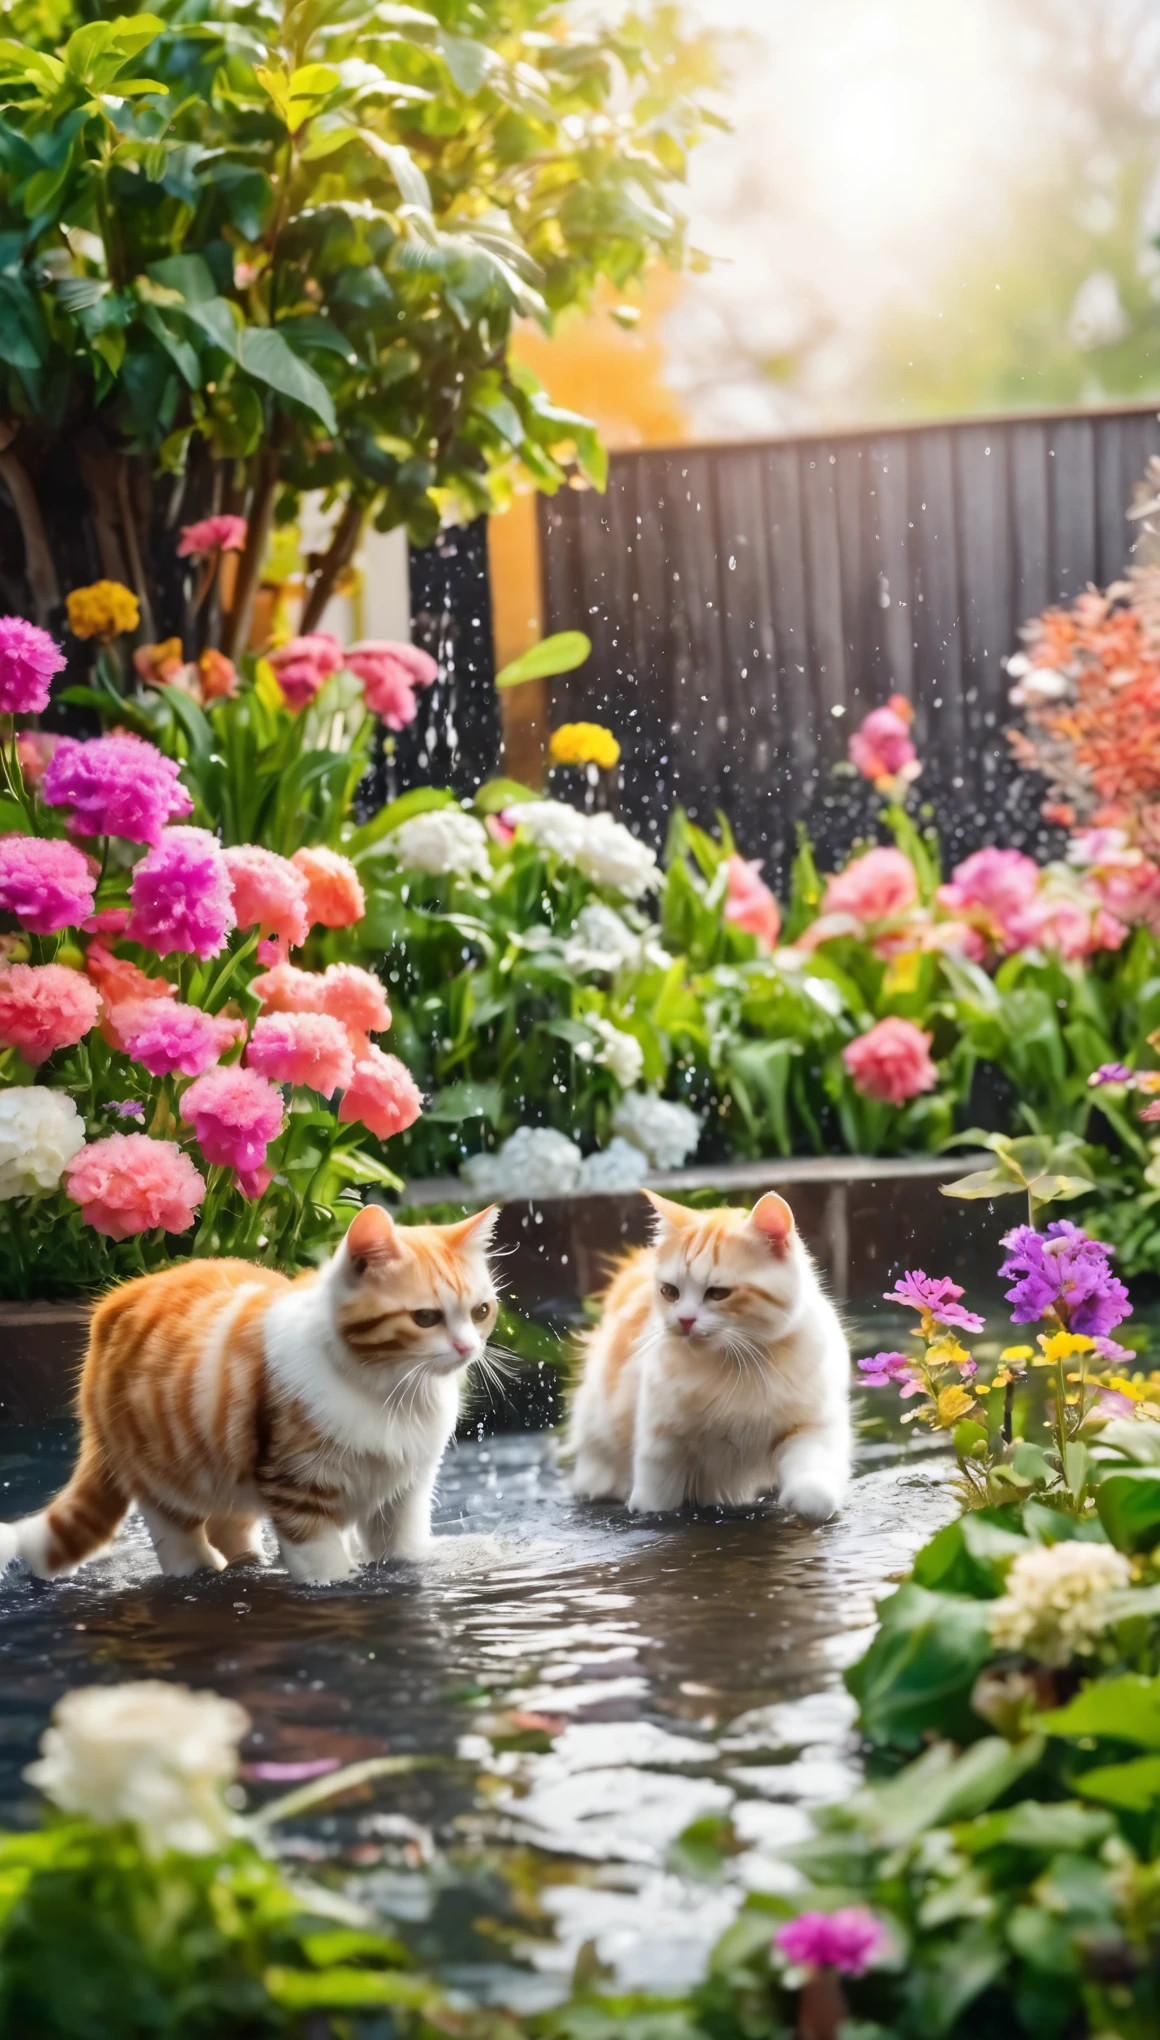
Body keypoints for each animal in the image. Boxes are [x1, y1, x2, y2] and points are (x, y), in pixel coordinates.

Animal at [0, 1199, 493, 1583]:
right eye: (426, 1318)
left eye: (481, 1311)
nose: (468, 1347)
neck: (391, 1389)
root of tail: (112, 1302)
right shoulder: (296, 1482)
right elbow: (322, 1561)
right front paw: (334, 1584)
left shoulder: (405, 1489)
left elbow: (402, 1550)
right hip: (160, 1465)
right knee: (174, 1527)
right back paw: (198, 1569)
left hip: (223, 1459)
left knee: (227, 1522)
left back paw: (248, 1562)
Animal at [566, 1191, 844, 1517]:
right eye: (670, 1291)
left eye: (718, 1293)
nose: (684, 1320)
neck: (735, 1366)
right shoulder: (662, 1435)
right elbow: (656, 1488)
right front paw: (649, 1509)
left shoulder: (809, 1424)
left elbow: (811, 1466)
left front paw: (810, 1500)